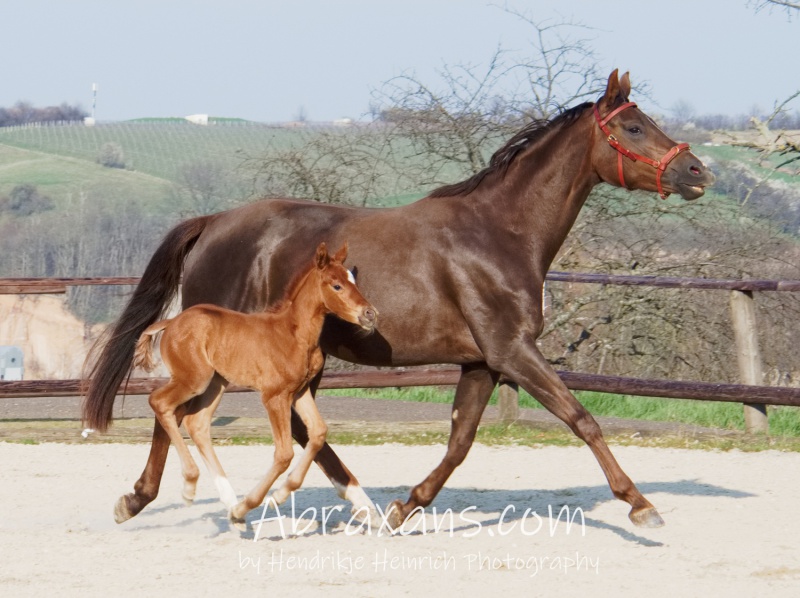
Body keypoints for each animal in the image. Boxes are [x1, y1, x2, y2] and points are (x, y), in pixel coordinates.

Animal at [122, 244, 378, 528]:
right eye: (336, 285)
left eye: (353, 280)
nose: (370, 314)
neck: (294, 334)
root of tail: (171, 322)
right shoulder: (274, 396)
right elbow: (284, 453)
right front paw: (260, 502)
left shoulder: (299, 392)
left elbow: (319, 433)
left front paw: (279, 494)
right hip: (194, 379)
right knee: (159, 402)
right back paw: (191, 485)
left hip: (216, 383)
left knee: (196, 423)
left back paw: (230, 505)